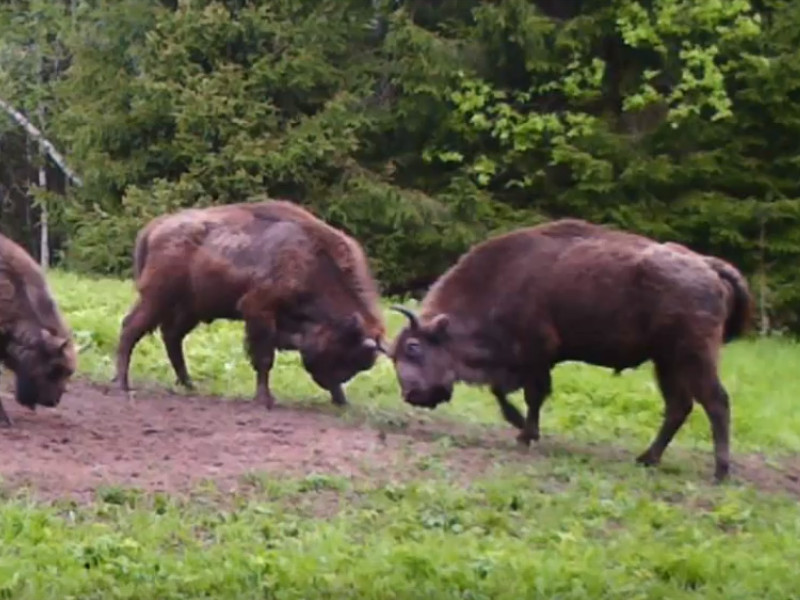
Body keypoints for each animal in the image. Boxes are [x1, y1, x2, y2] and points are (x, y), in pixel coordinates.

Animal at [112, 198, 388, 408]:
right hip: (156, 298)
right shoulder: (259, 310)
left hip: (189, 309)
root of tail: (155, 228)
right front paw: (265, 399)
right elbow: (264, 358)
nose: (328, 381)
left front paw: (342, 400)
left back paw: (188, 384)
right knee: (131, 328)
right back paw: (122, 384)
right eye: (345, 352)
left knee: (171, 336)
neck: (312, 261)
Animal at [390, 218, 752, 480]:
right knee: (679, 406)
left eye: (413, 347)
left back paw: (719, 472)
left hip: (692, 356)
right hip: (666, 361)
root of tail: (708, 265)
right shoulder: (520, 362)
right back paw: (647, 459)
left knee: (715, 402)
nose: (411, 394)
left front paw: (526, 434)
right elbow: (502, 392)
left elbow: (531, 395)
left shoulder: (535, 355)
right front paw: (521, 428)